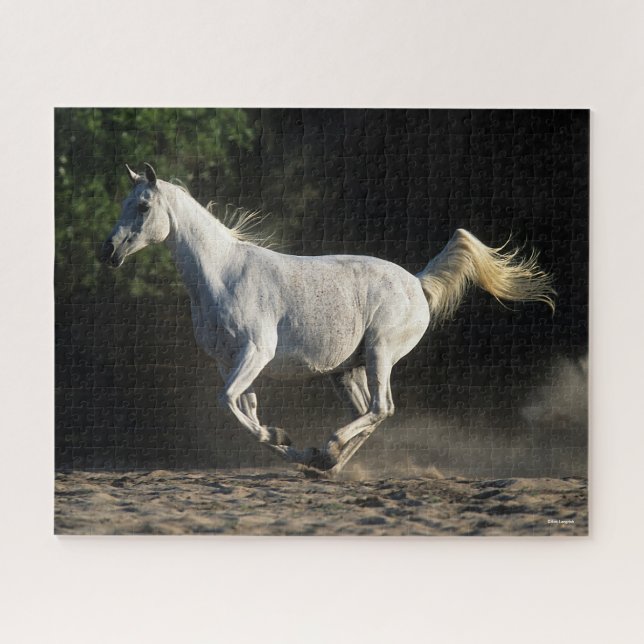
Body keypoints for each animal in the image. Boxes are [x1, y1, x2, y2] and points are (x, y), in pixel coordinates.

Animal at [100, 163, 555, 477]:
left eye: (143, 205)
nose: (108, 252)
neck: (224, 273)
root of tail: (417, 282)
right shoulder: (228, 361)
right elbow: (246, 410)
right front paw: (290, 446)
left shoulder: (256, 352)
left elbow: (229, 402)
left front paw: (285, 440)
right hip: (346, 371)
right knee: (372, 411)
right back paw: (327, 462)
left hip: (380, 352)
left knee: (381, 407)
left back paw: (331, 449)